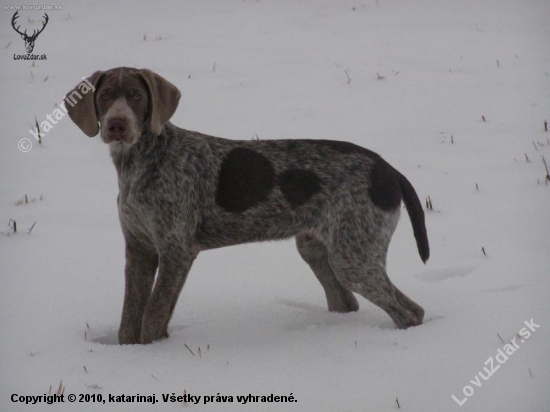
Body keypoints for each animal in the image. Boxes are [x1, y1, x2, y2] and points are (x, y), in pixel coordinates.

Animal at [66, 68, 432, 344]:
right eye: (105, 97)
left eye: (137, 97)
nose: (116, 125)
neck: (140, 161)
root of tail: (388, 169)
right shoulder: (139, 249)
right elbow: (131, 317)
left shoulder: (177, 249)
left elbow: (154, 315)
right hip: (316, 248)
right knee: (346, 301)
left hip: (353, 257)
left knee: (411, 311)